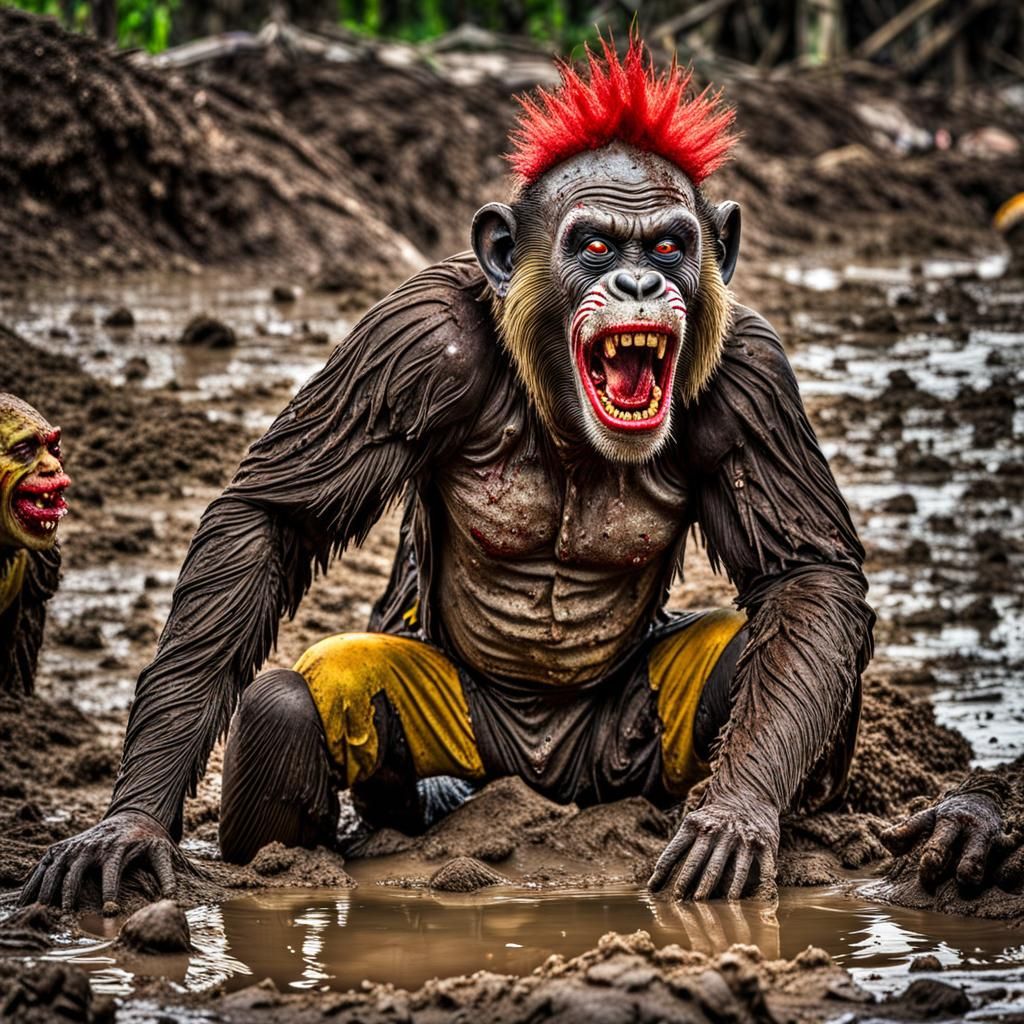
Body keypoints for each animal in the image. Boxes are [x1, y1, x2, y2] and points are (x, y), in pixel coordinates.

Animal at [22, 38, 999, 911]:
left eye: (670, 246)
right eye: (596, 247)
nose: (641, 285)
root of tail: (544, 785)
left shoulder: (755, 376)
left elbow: (805, 574)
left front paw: (735, 815)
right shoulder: (414, 341)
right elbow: (273, 517)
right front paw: (130, 827)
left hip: (617, 758)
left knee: (742, 654)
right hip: (476, 746)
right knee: (291, 702)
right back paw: (317, 856)